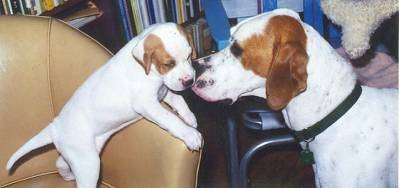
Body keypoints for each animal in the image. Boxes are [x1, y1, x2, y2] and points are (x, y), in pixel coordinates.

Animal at [5, 22, 200, 187]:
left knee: (60, 161)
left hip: (85, 153)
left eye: (189, 56)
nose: (189, 81)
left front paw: (190, 118)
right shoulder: (146, 103)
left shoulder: (163, 92)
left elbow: (179, 100)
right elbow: (170, 118)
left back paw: (68, 176)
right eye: (168, 64)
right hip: (89, 164)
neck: (149, 69)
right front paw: (190, 135)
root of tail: (55, 127)